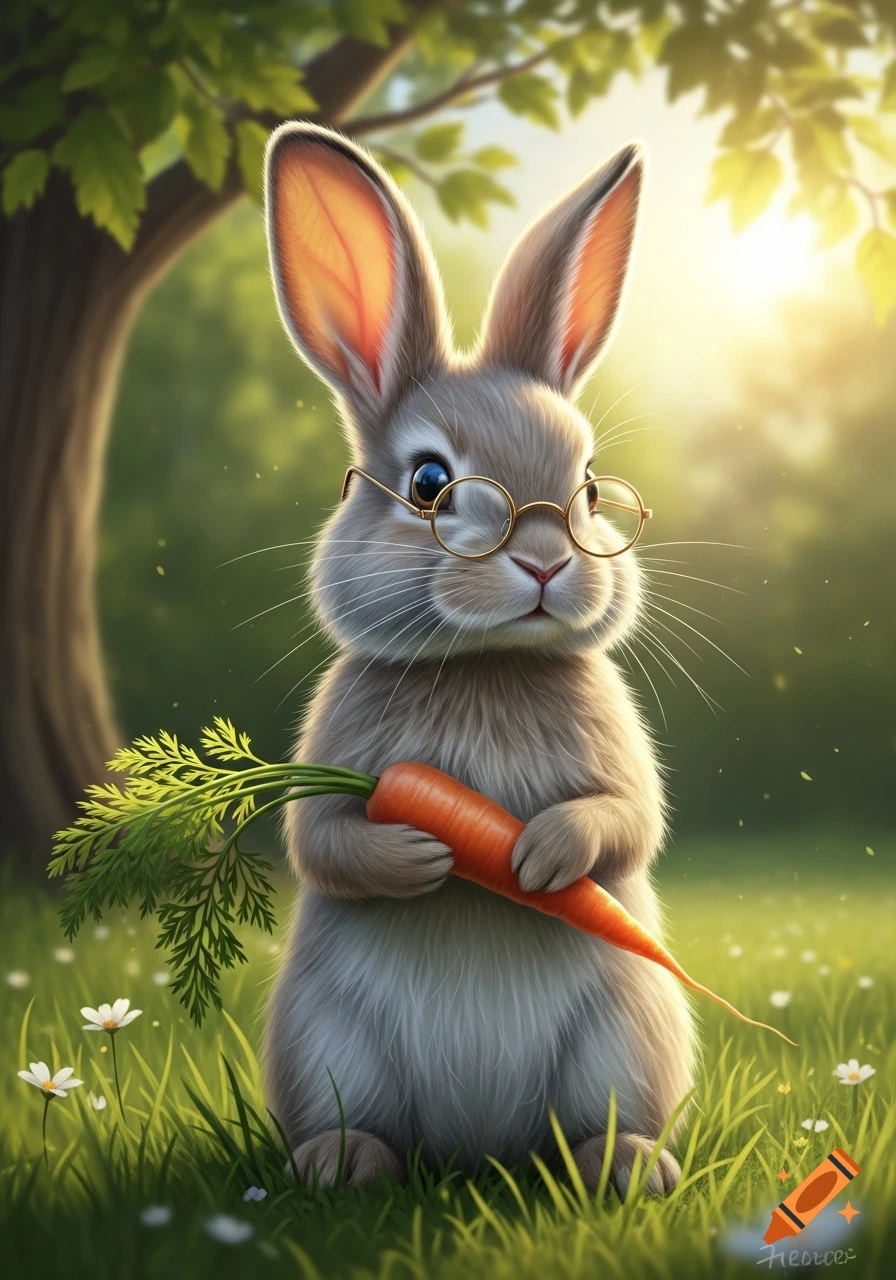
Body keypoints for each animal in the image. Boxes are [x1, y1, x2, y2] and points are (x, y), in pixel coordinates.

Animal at [262, 122, 696, 1196]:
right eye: (428, 482)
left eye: (589, 489)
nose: (545, 563)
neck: (485, 662)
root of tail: (475, 1149)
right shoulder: (330, 755)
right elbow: (321, 842)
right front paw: (420, 854)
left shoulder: (621, 759)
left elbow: (628, 821)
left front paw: (539, 854)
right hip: (327, 1041)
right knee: (353, 1123)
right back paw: (342, 1162)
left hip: (627, 1034)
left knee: (599, 1125)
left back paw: (629, 1166)